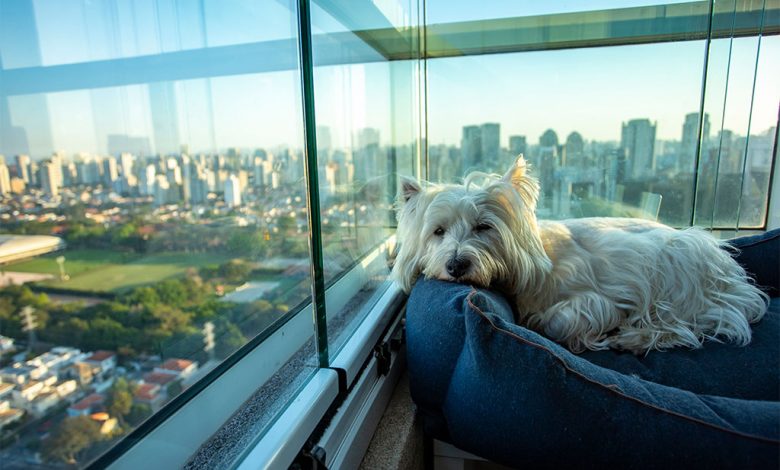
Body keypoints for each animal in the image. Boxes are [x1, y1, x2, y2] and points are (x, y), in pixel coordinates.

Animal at [394, 158, 772, 352]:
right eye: (438, 232)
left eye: (483, 227)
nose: (456, 265)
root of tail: (735, 280)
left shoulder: (603, 296)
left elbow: (561, 319)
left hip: (678, 270)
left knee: (682, 327)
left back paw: (632, 338)